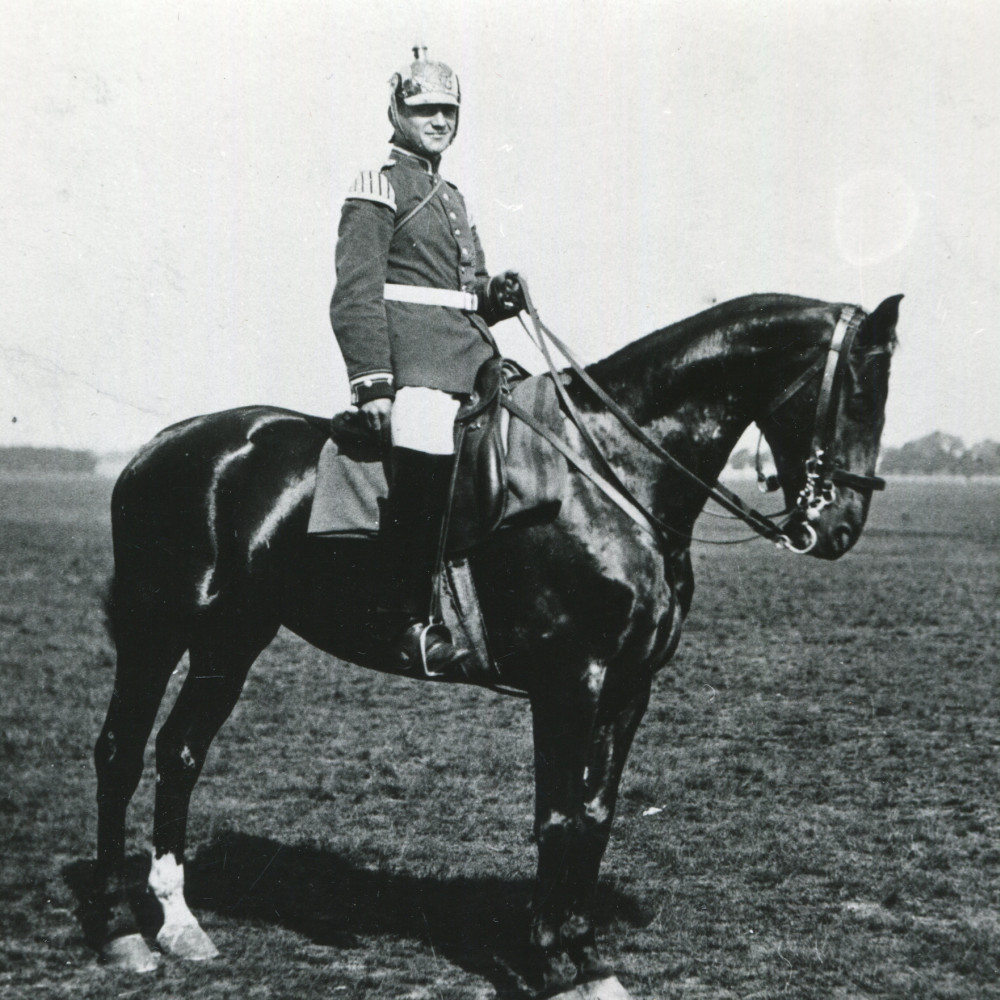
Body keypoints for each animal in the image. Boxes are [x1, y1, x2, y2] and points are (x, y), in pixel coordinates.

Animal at [92, 292, 900, 996]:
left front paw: (586, 956)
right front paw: (551, 962)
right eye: (861, 391)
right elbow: (557, 817)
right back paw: (120, 929)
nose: (839, 528)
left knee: (180, 752)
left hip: (231, 638)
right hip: (159, 630)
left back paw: (180, 923)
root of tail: (162, 445)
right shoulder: (570, 680)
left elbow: (596, 816)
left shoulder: (629, 686)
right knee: (121, 751)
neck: (609, 474)